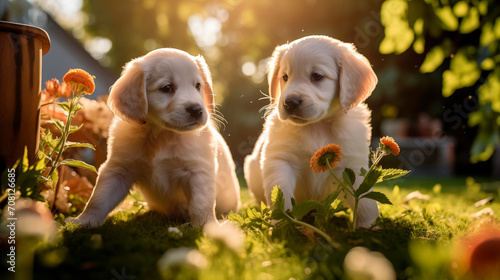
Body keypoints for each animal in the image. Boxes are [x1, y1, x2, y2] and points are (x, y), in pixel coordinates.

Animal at [68, 48, 240, 228]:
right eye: (167, 88)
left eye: (198, 86)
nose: (196, 110)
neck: (162, 134)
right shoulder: (118, 170)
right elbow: (99, 198)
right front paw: (83, 221)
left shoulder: (199, 171)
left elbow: (201, 204)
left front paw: (208, 227)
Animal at [243, 35, 378, 228]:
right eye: (285, 77)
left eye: (317, 76)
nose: (289, 102)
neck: (316, 126)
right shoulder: (280, 160)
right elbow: (281, 193)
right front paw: (284, 222)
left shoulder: (352, 163)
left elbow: (364, 199)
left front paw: (369, 227)